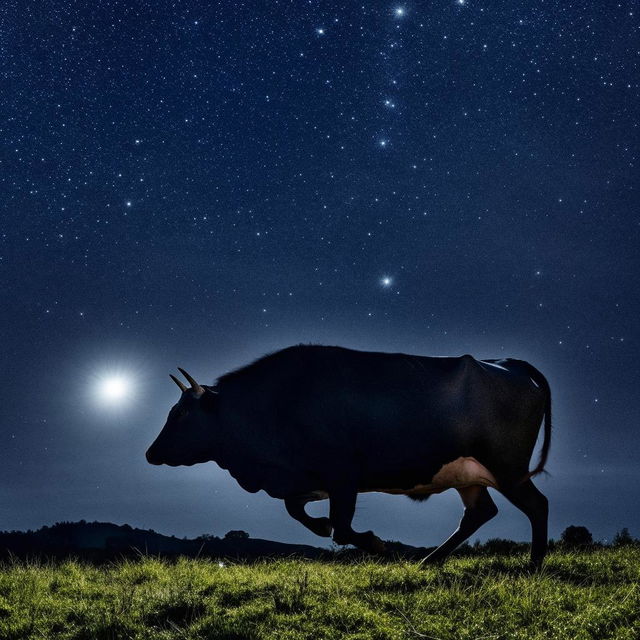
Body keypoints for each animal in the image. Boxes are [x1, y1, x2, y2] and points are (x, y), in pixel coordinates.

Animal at [146, 348, 552, 568]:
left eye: (181, 413)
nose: (151, 453)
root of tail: (508, 362)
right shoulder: (308, 479)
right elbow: (299, 513)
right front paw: (322, 526)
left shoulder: (343, 476)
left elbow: (342, 528)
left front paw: (376, 544)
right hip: (468, 474)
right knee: (480, 513)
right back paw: (429, 561)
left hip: (507, 466)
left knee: (537, 505)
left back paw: (534, 565)